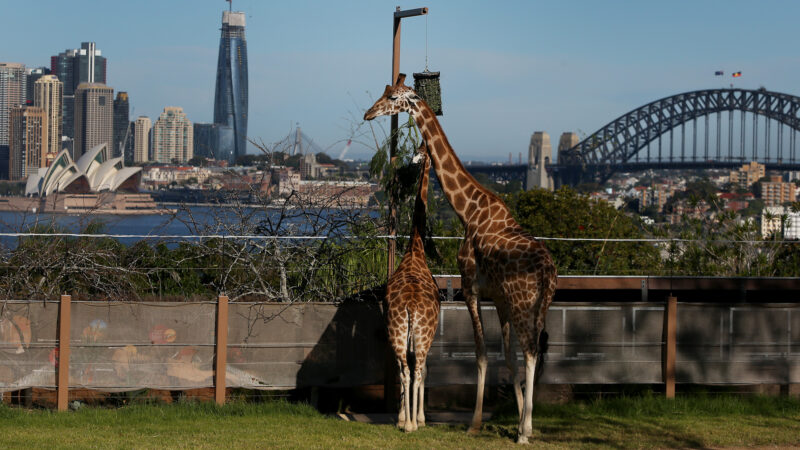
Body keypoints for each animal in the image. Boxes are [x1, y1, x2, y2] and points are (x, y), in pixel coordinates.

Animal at [364, 74, 556, 442]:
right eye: (383, 92)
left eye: (393, 98)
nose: (369, 113)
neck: (469, 211)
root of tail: (547, 271)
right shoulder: (499, 298)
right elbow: (506, 358)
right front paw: (512, 416)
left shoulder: (470, 287)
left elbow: (481, 355)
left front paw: (475, 423)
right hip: (541, 304)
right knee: (533, 351)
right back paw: (526, 425)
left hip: (523, 302)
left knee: (530, 350)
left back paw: (524, 431)